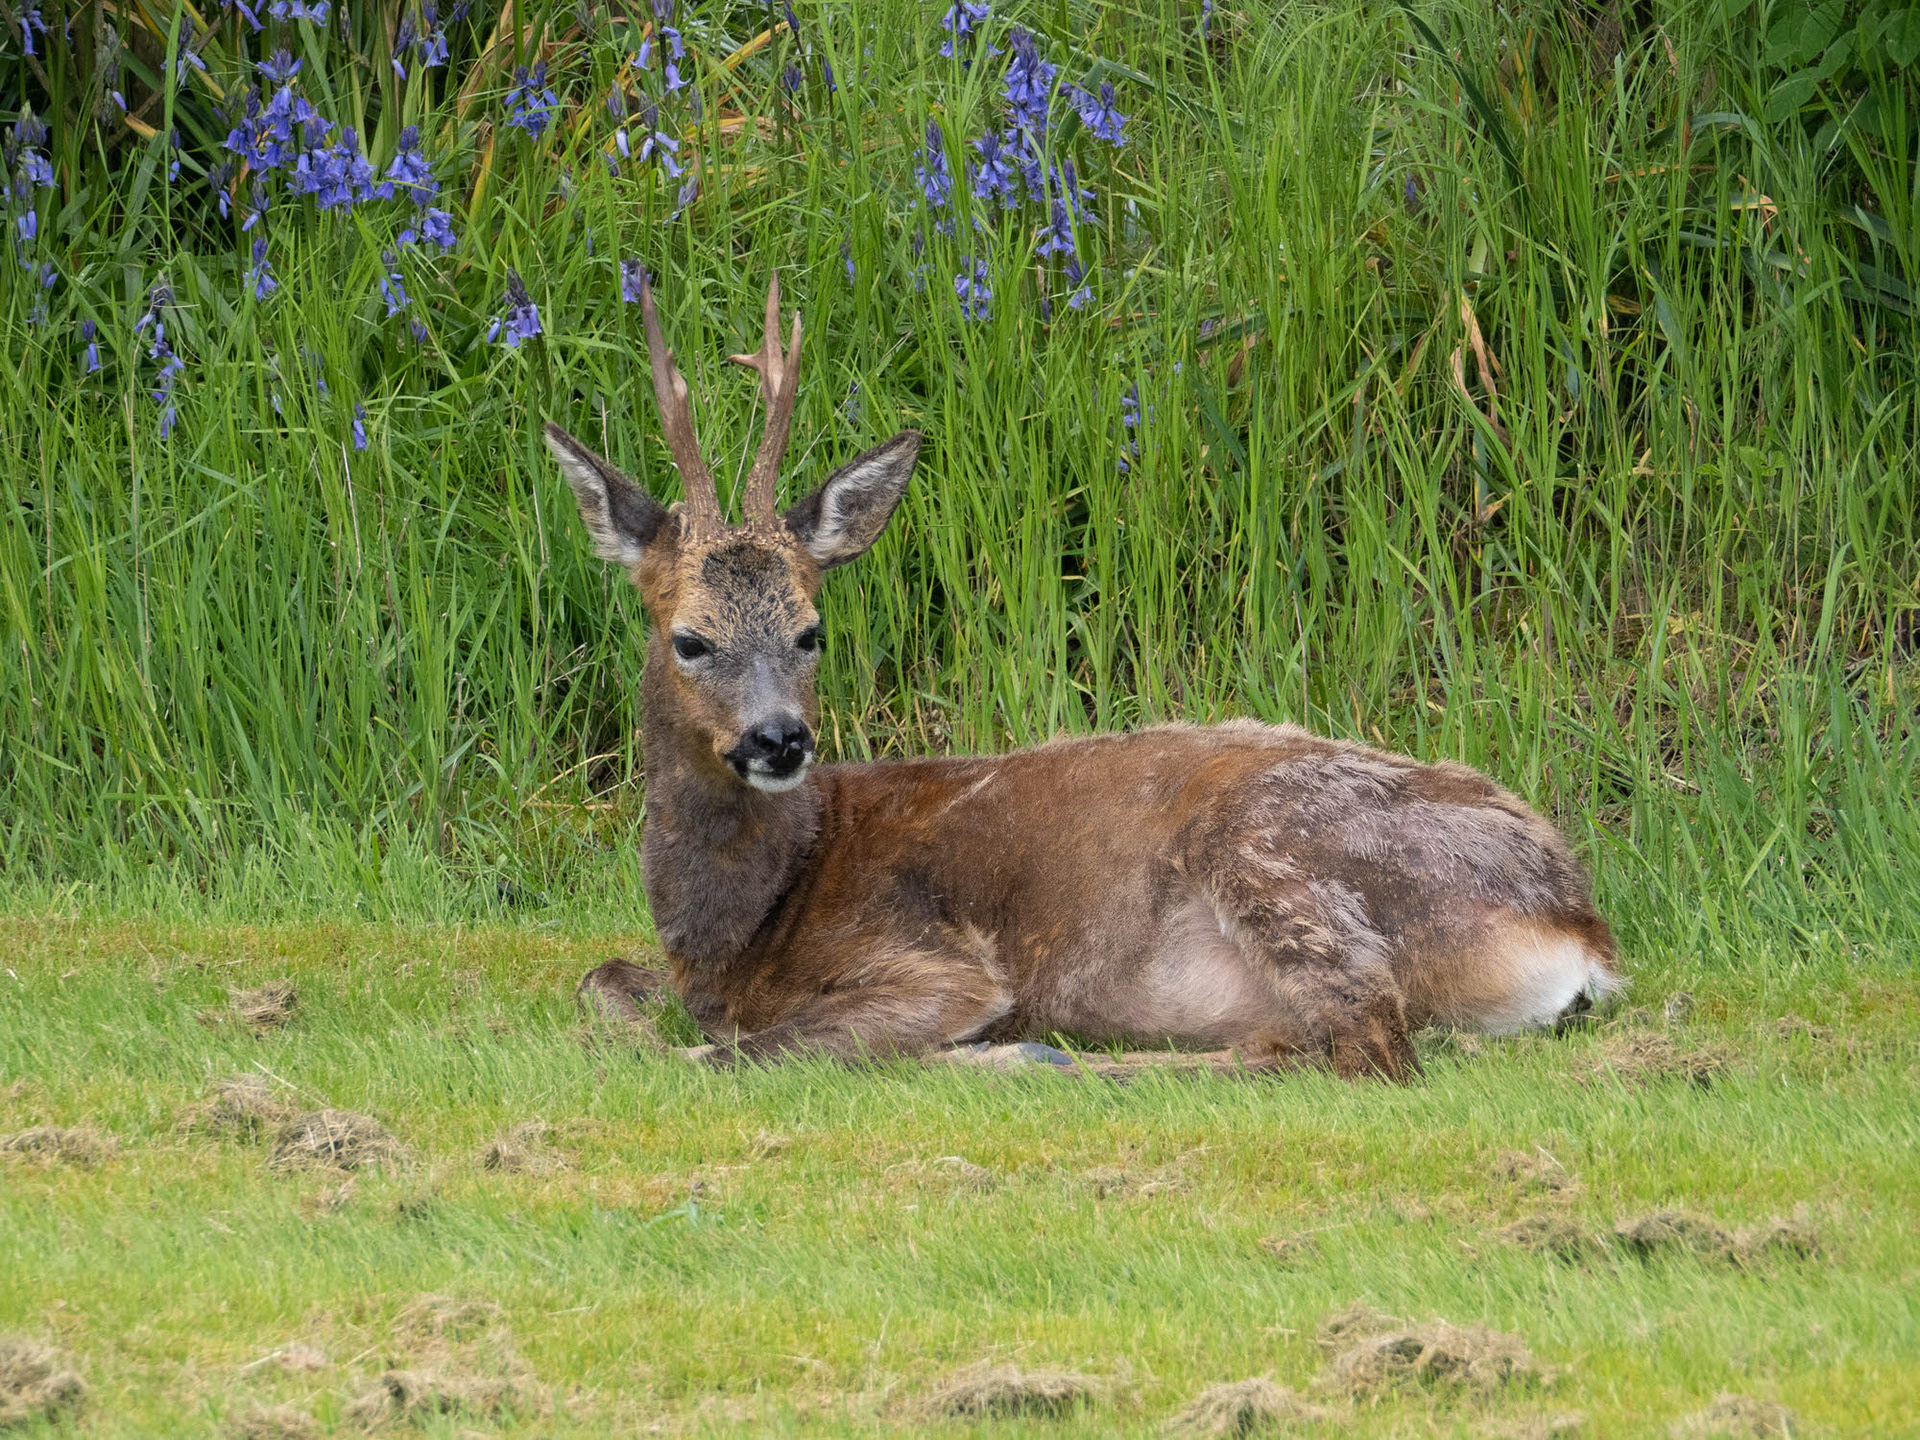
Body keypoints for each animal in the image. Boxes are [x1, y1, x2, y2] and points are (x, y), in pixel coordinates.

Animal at [542, 272, 1622, 1081]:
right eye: (690, 639)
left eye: (813, 631)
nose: (779, 739)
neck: (739, 932)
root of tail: (1581, 929)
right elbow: (601, 980)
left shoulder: (932, 964)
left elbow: (715, 1052)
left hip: (1270, 839)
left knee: (1353, 1043)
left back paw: (1034, 1058)